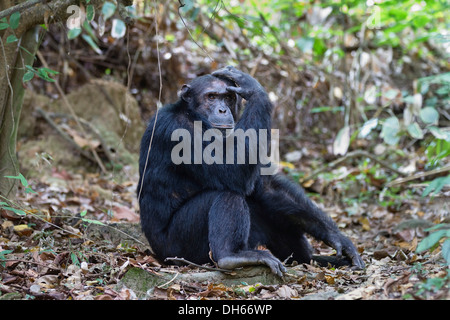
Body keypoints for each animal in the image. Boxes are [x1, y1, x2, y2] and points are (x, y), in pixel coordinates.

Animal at [138, 65, 366, 276]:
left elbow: (265, 185)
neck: (193, 115)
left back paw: (312, 260)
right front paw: (253, 88)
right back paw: (231, 256)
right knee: (226, 194)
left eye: (228, 97)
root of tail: (158, 254)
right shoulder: (180, 131)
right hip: (179, 248)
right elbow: (233, 170)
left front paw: (338, 238)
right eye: (211, 96)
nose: (223, 110)